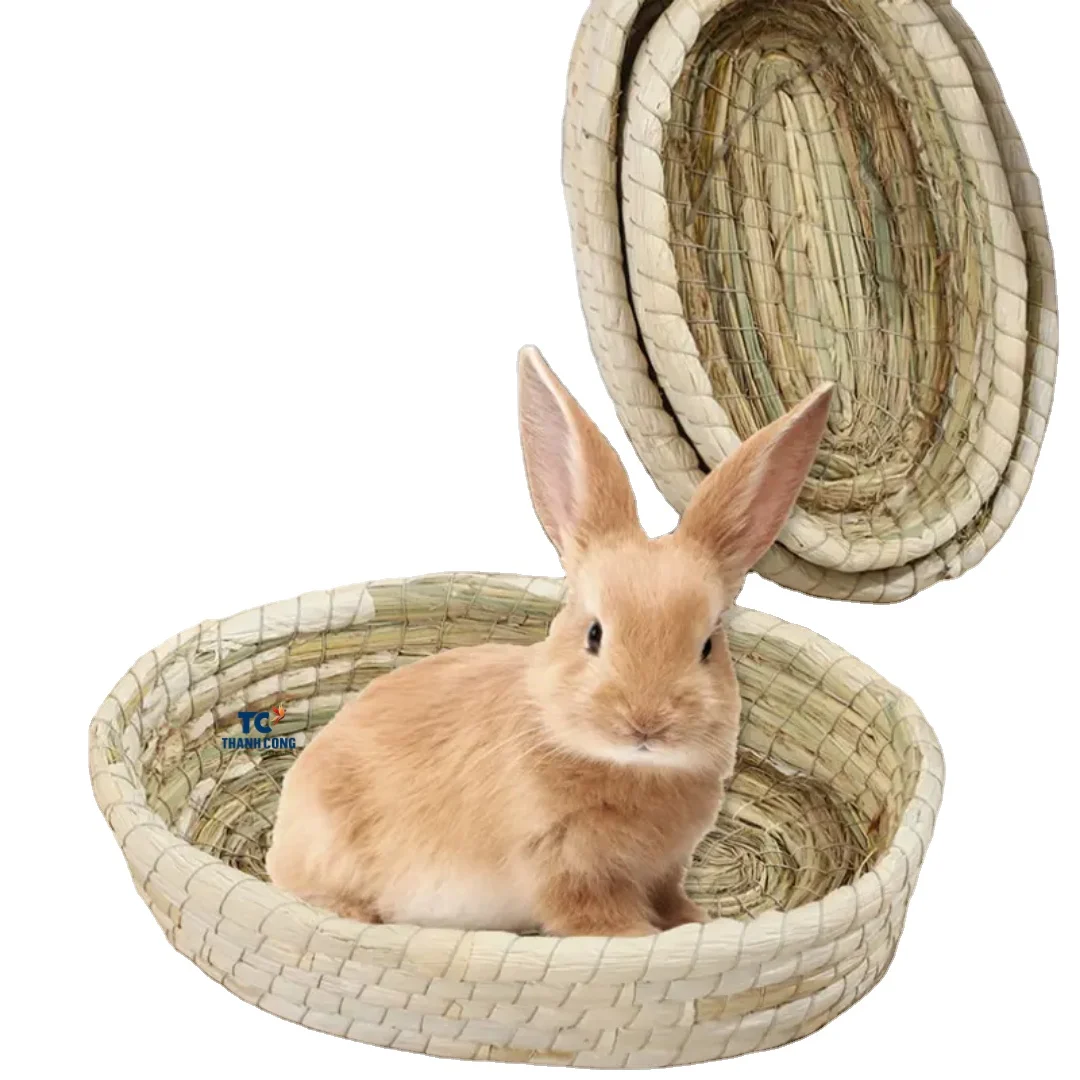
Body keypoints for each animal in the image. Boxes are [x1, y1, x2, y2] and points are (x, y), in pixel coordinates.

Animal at [266, 347, 833, 936]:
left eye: (707, 646)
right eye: (594, 634)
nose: (646, 722)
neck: (627, 765)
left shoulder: (664, 869)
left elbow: (670, 898)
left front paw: (696, 923)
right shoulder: (568, 867)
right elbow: (598, 919)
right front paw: (640, 935)